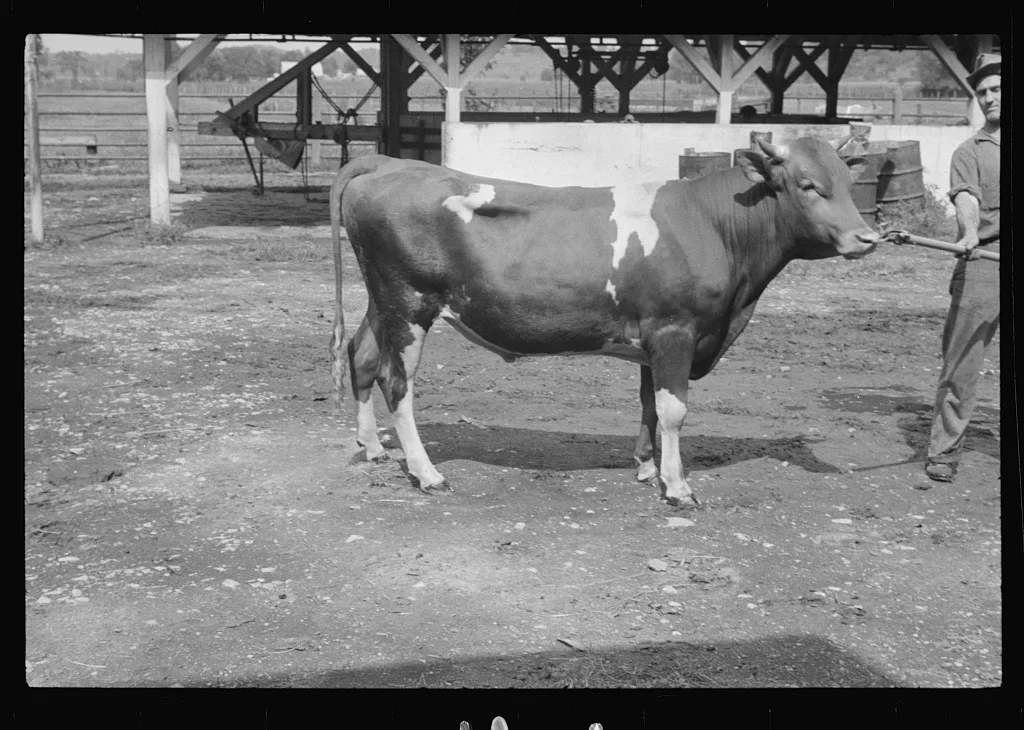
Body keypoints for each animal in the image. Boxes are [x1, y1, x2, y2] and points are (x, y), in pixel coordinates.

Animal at [328, 135, 879, 507]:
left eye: (850, 182)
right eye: (808, 185)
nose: (868, 238)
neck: (712, 224)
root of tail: (388, 162)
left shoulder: (654, 338)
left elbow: (650, 405)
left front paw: (646, 467)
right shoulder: (676, 330)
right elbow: (674, 410)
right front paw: (677, 487)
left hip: (382, 303)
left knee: (362, 357)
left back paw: (373, 448)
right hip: (408, 304)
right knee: (396, 383)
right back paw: (426, 473)